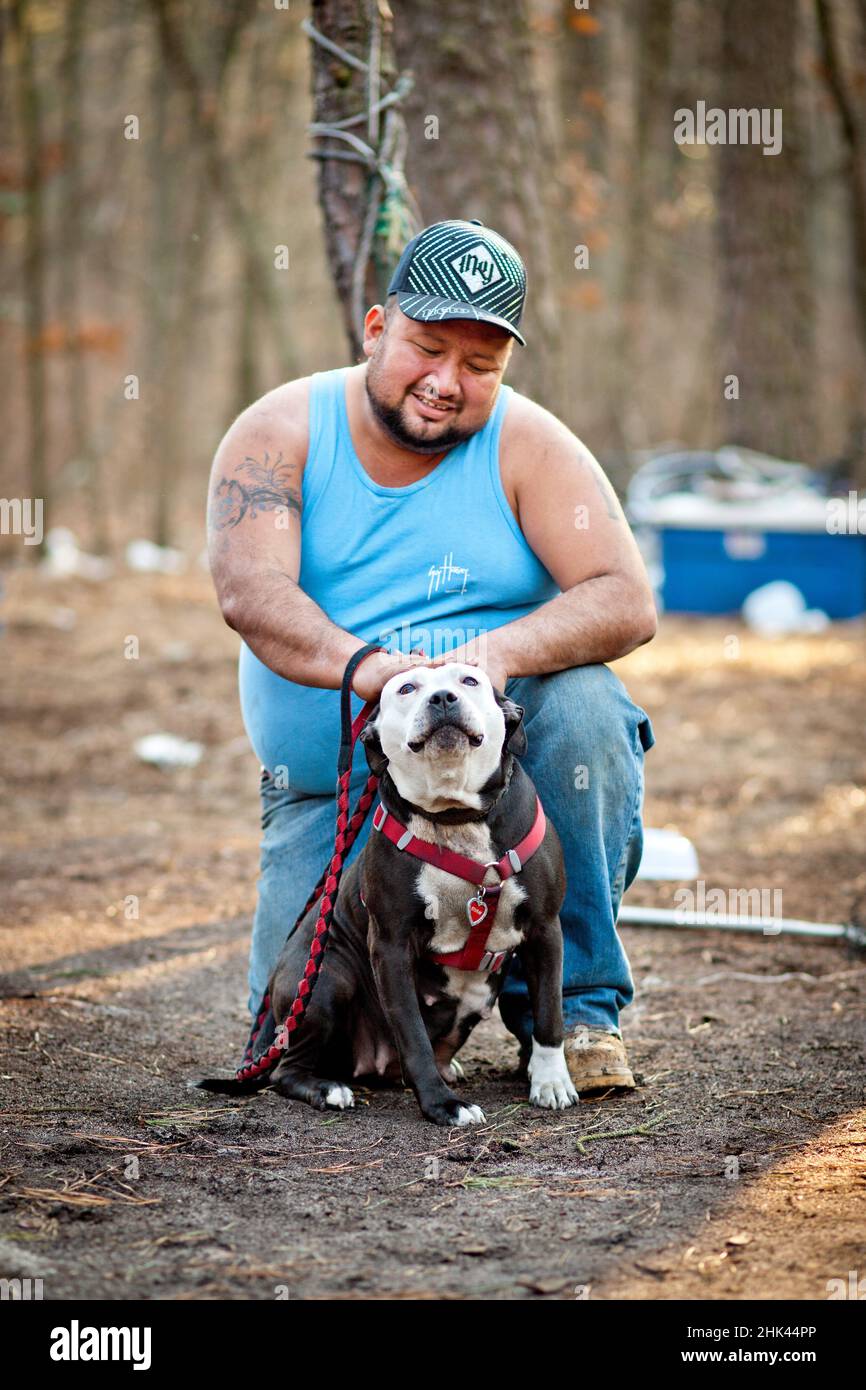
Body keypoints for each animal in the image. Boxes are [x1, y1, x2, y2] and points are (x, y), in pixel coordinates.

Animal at [205, 661, 578, 1128]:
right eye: (405, 688)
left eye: (469, 681)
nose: (442, 698)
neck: (456, 817)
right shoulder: (391, 947)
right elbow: (413, 1036)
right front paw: (442, 1106)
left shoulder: (545, 931)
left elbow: (548, 1013)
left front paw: (551, 1081)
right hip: (327, 981)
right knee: (286, 1069)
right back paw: (328, 1089)